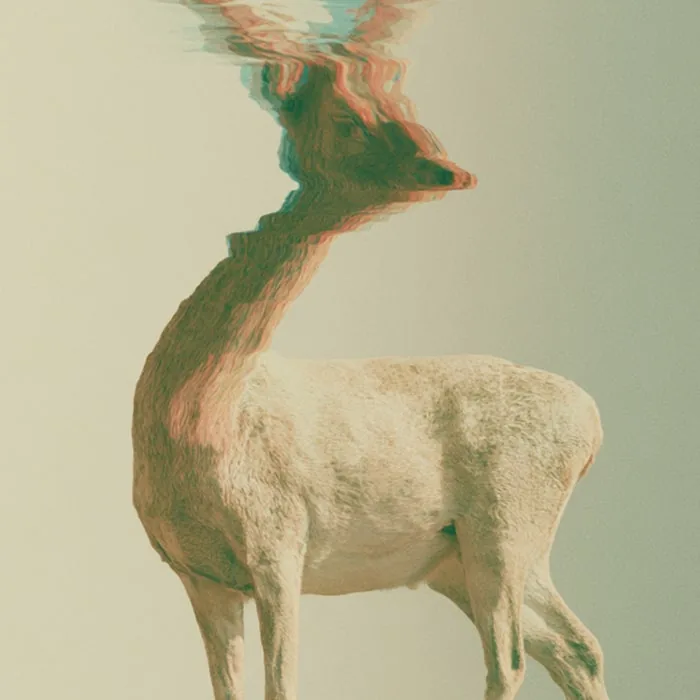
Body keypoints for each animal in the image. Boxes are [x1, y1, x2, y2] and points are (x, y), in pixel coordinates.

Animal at [133, 4, 611, 699]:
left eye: (399, 95)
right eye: (345, 117)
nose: (448, 171)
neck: (203, 428)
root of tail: (593, 424)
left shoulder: (280, 540)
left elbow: (284, 683)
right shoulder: (198, 573)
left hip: (506, 524)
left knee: (513, 656)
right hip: (465, 558)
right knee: (576, 646)